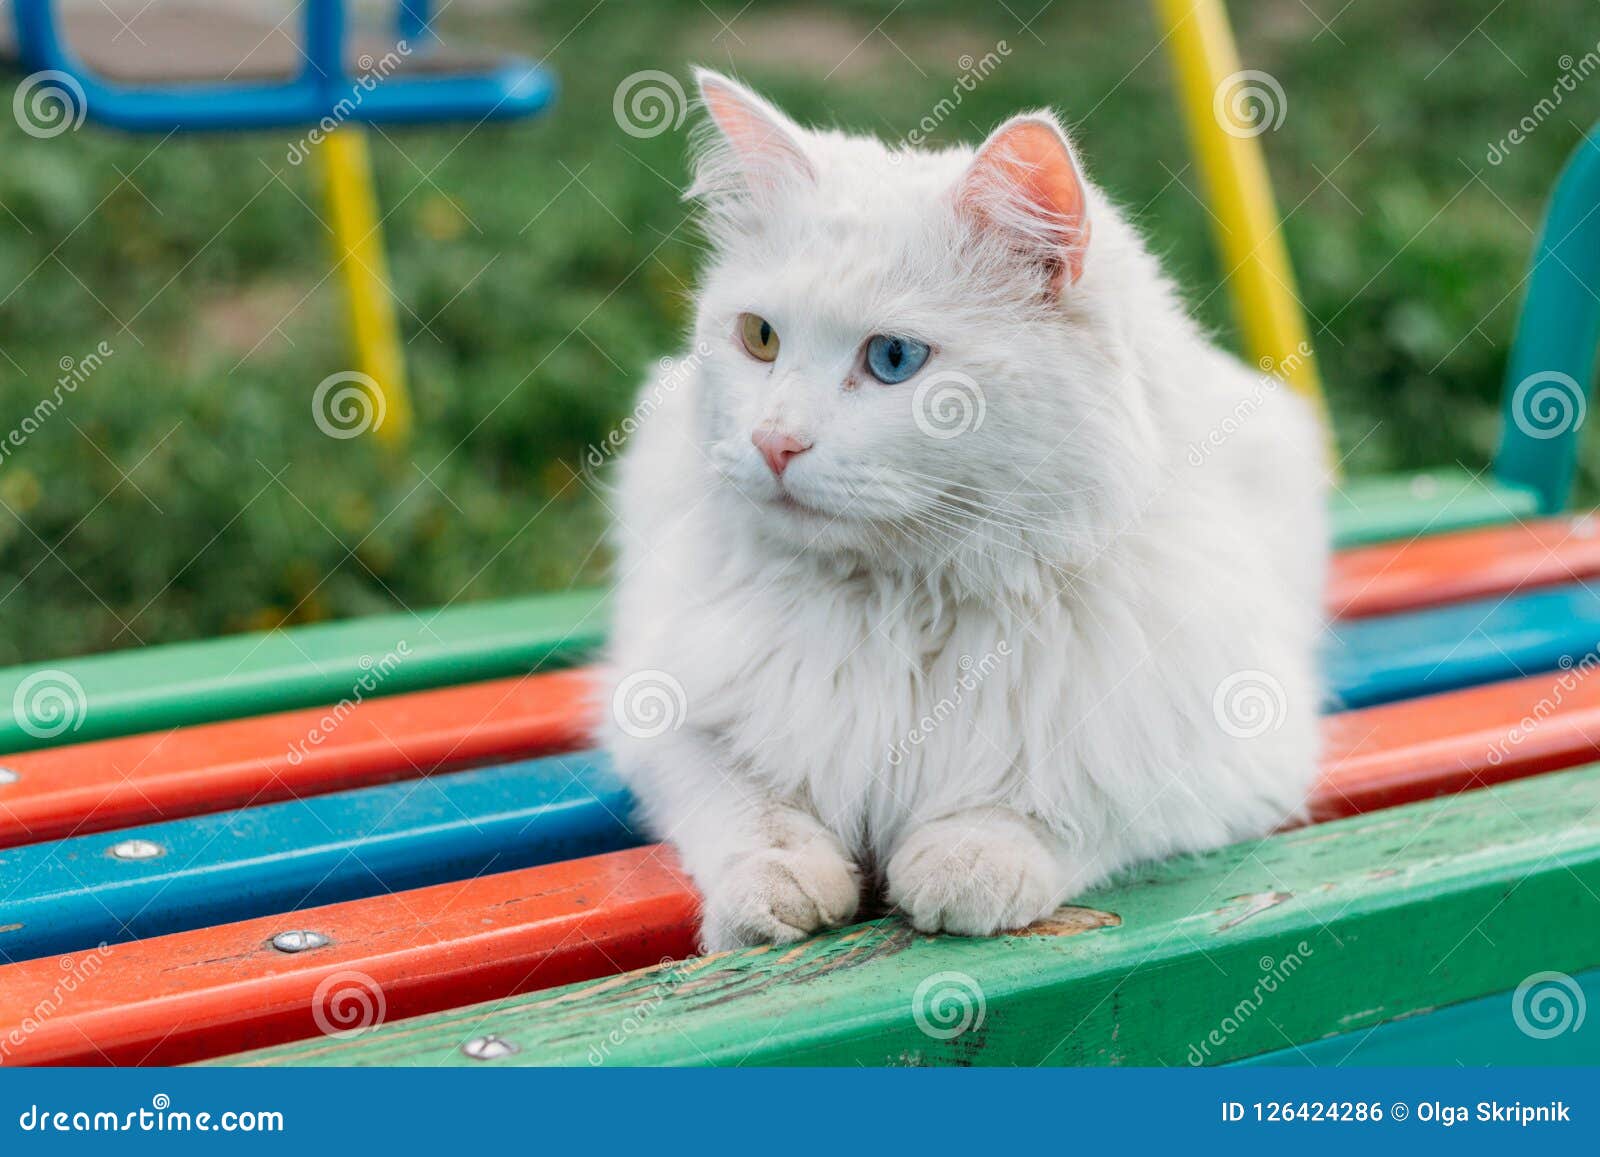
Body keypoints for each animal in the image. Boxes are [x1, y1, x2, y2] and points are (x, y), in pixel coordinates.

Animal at [601, 74, 1324, 960]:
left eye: (893, 359)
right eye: (760, 338)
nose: (773, 442)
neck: (903, 600)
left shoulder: (1230, 757)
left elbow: (1067, 806)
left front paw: (967, 861)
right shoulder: (662, 714)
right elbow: (748, 808)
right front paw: (778, 891)